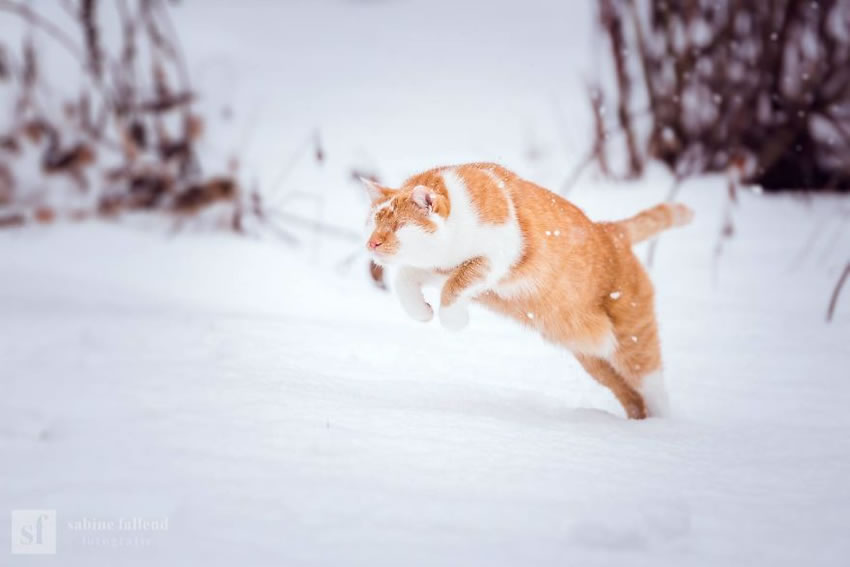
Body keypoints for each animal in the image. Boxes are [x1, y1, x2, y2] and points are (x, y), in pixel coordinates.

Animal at [362, 162, 692, 420]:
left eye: (398, 226)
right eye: (374, 222)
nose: (371, 243)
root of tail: (611, 230)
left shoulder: (498, 256)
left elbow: (457, 285)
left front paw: (455, 320)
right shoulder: (438, 268)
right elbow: (405, 277)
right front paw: (422, 311)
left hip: (634, 344)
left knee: (653, 388)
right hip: (593, 358)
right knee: (631, 397)